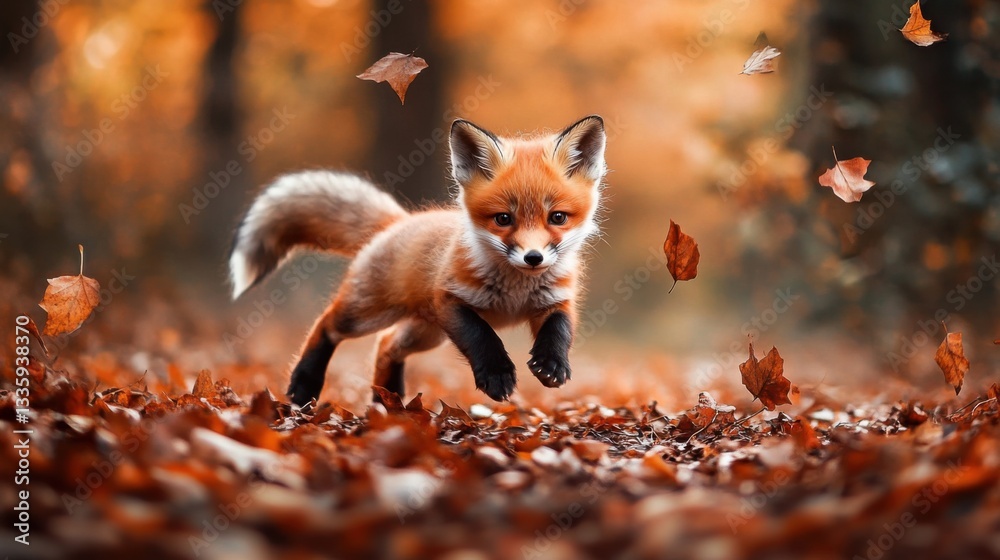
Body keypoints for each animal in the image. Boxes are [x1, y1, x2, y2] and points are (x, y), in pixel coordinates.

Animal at [228, 115, 607, 406]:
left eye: (557, 217)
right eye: (503, 219)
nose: (533, 258)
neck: (515, 293)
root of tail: (397, 222)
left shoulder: (555, 299)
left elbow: (559, 329)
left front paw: (552, 364)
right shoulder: (450, 299)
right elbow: (483, 336)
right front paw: (496, 374)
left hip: (425, 333)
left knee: (386, 347)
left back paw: (388, 401)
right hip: (370, 314)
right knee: (327, 326)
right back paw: (305, 384)